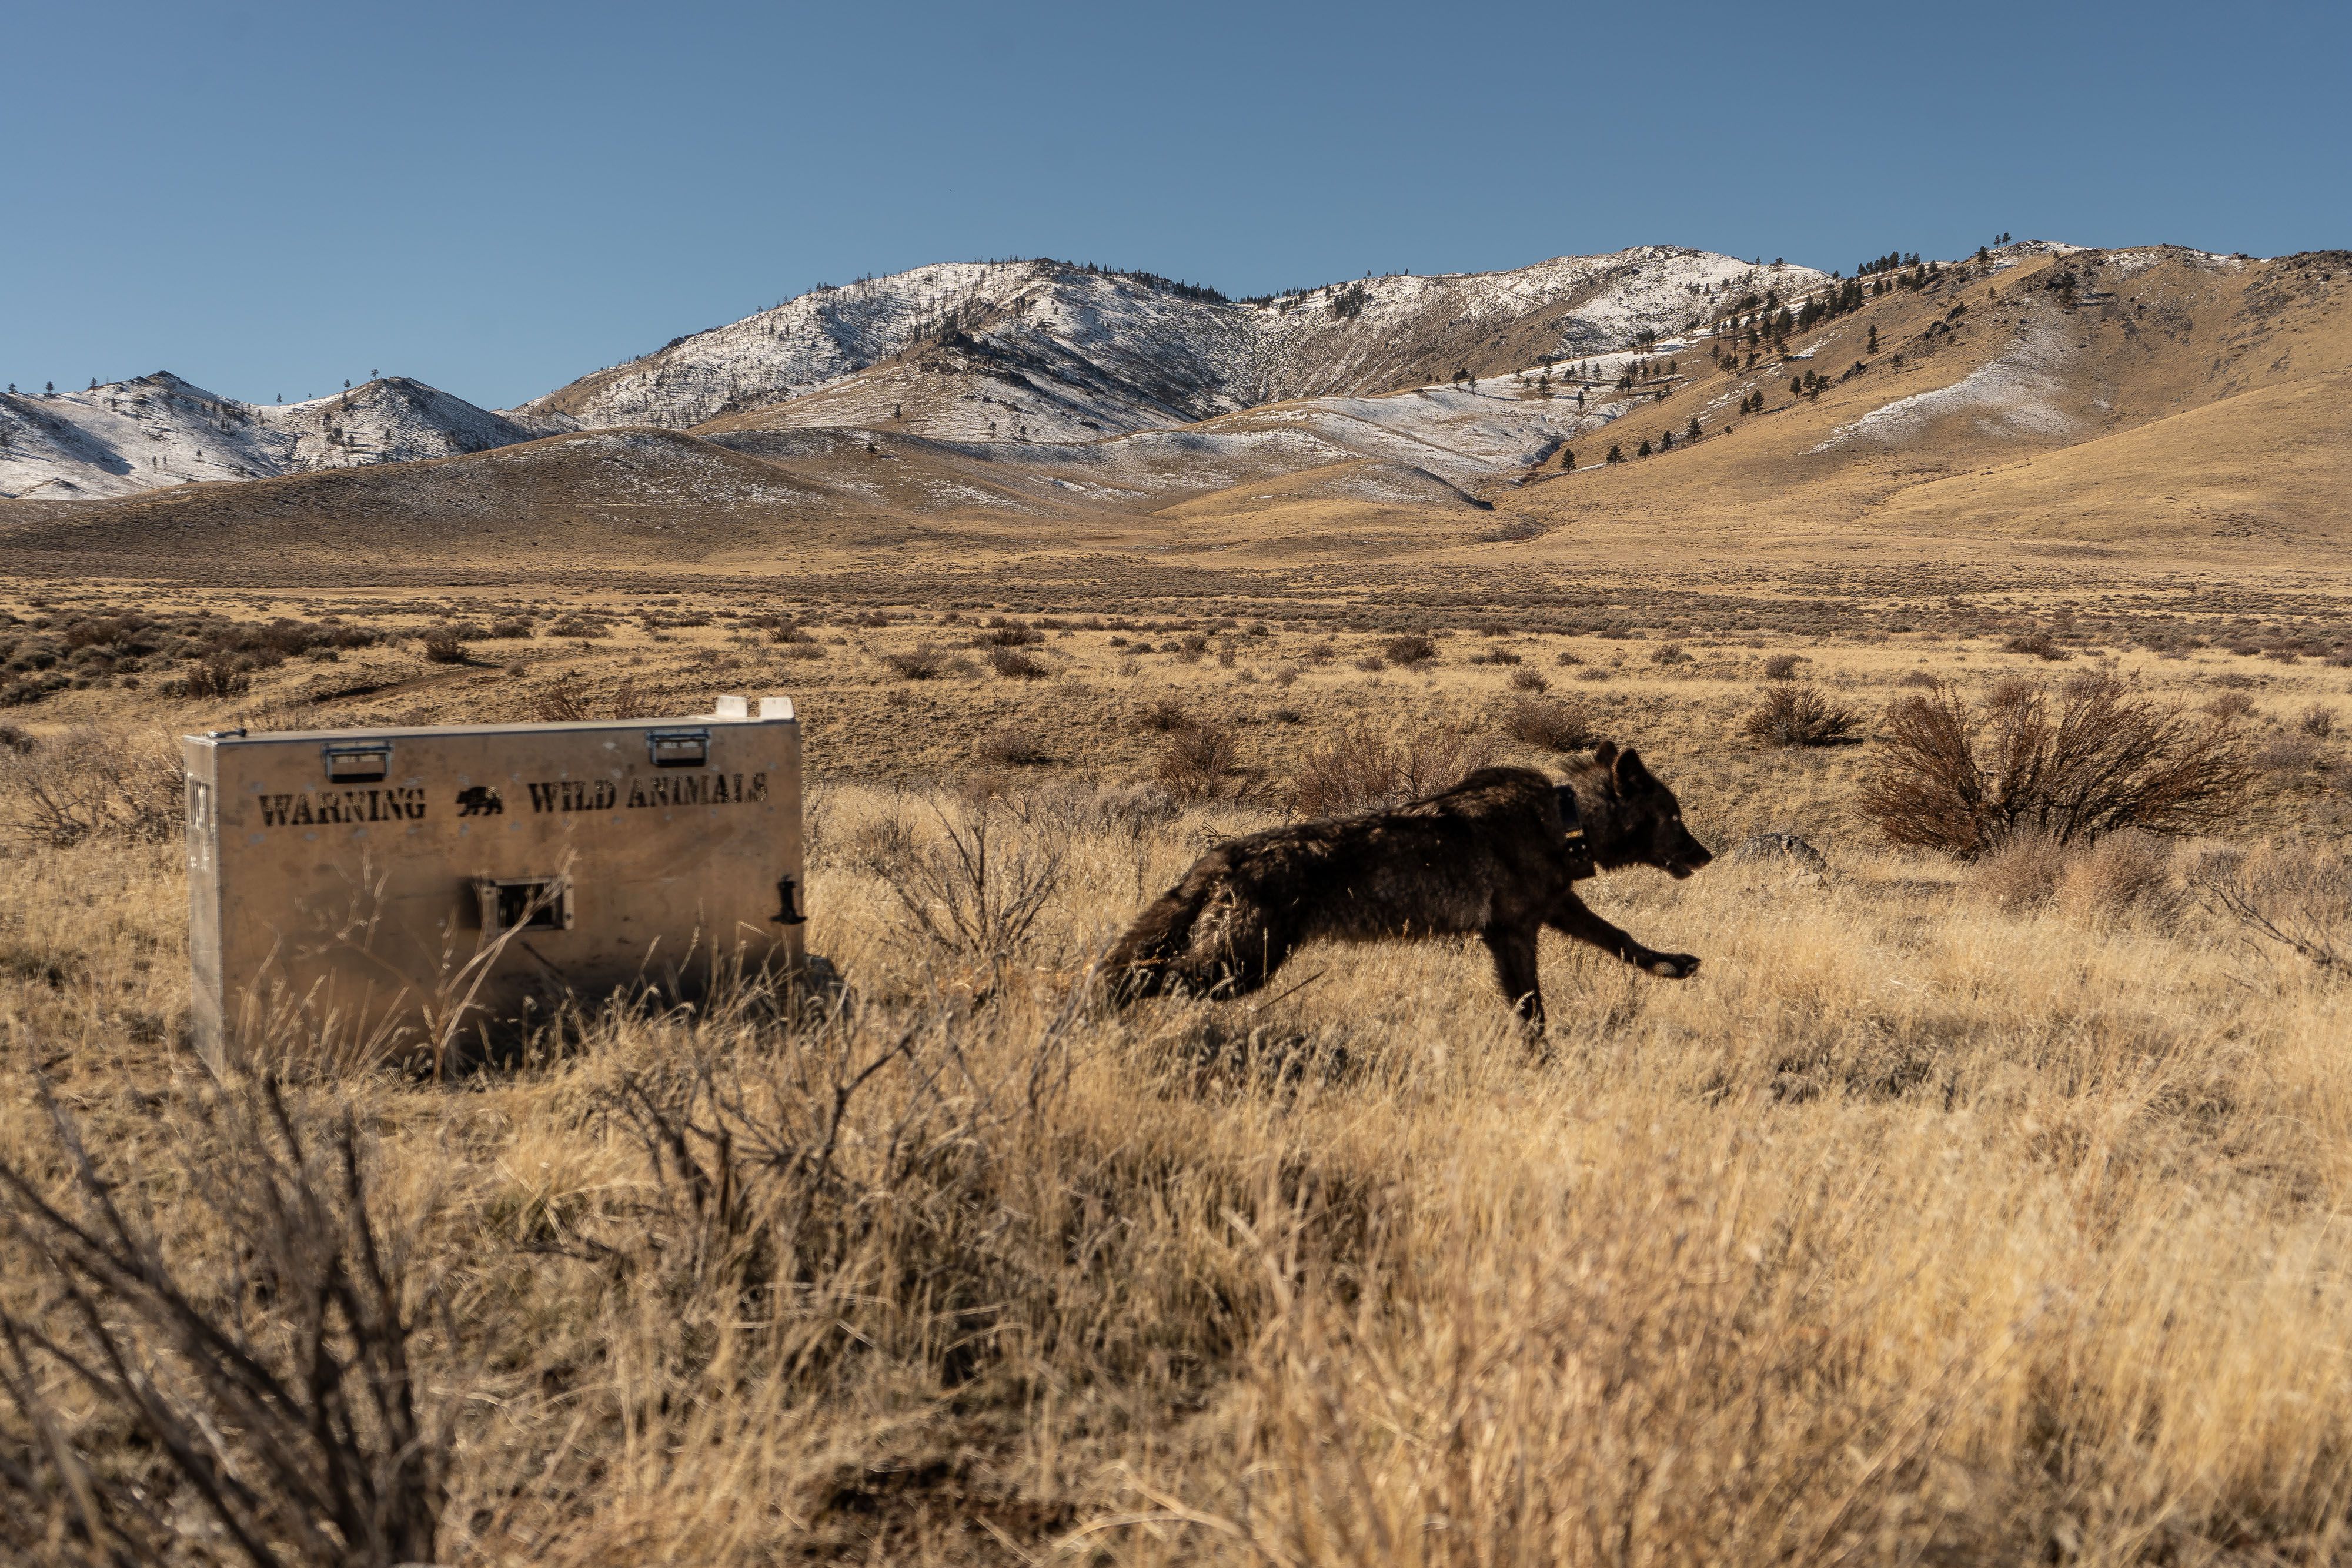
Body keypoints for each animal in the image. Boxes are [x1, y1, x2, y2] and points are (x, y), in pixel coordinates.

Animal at [1104, 743, 1713, 1030]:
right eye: (1676, 818)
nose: (1707, 855)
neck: (1563, 820)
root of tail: (1222, 854)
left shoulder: (1551, 910)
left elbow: (1621, 939)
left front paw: (1671, 964)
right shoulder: (1514, 934)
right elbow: (1533, 1011)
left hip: (1235, 964)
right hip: (1239, 967)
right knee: (1145, 974)